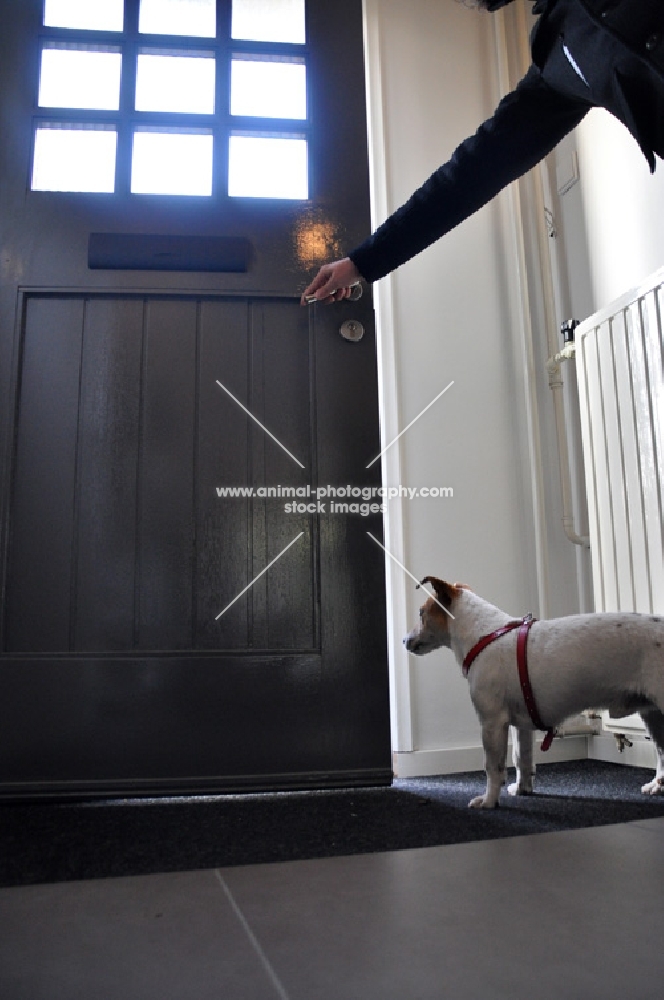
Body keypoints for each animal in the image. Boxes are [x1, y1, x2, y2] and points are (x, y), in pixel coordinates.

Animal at [402, 576, 664, 808]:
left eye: (421, 613)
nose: (404, 641)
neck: (485, 634)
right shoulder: (521, 724)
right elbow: (522, 758)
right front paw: (522, 788)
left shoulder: (491, 722)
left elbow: (492, 766)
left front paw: (489, 801)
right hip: (652, 714)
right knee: (661, 751)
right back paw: (657, 785)